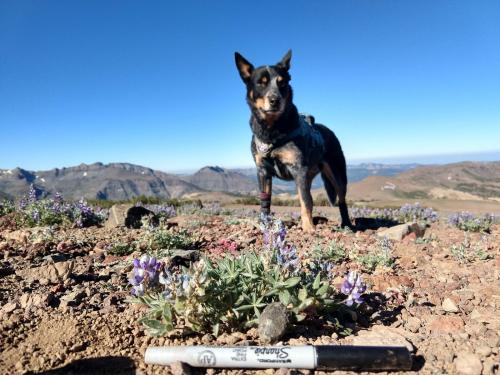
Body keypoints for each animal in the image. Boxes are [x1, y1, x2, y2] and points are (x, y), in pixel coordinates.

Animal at [234, 50, 352, 232]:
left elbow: (305, 201)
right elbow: (265, 201)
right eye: (261, 83)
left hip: (336, 175)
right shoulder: (263, 171)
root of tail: (328, 130)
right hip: (309, 177)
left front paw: (308, 227)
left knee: (340, 199)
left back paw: (346, 224)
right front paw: (265, 223)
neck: (272, 130)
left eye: (282, 83)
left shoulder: (298, 170)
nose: (275, 100)